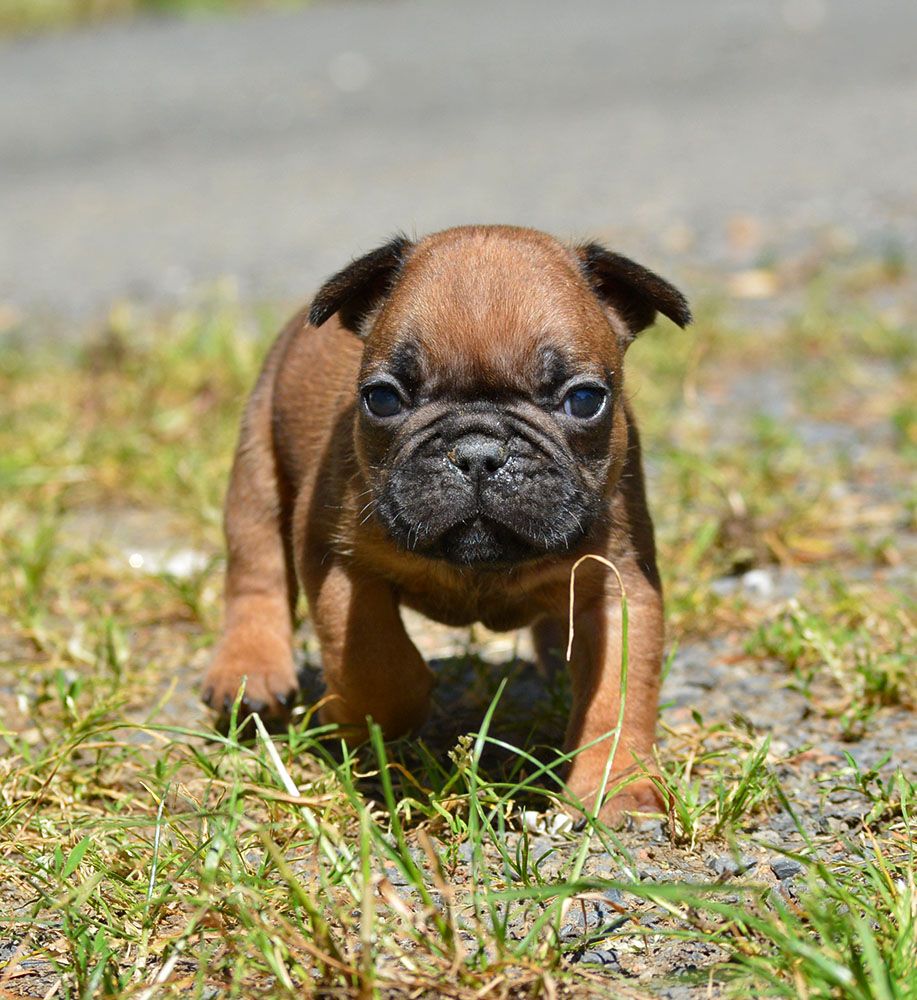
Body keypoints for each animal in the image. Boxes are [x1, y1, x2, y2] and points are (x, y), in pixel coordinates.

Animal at [202, 225, 690, 823]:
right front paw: (360, 714)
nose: (478, 452)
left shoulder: (619, 581)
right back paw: (249, 670)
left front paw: (616, 785)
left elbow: (618, 691)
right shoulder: (337, 559)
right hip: (256, 463)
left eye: (584, 400)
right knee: (256, 570)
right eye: (382, 398)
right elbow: (374, 665)